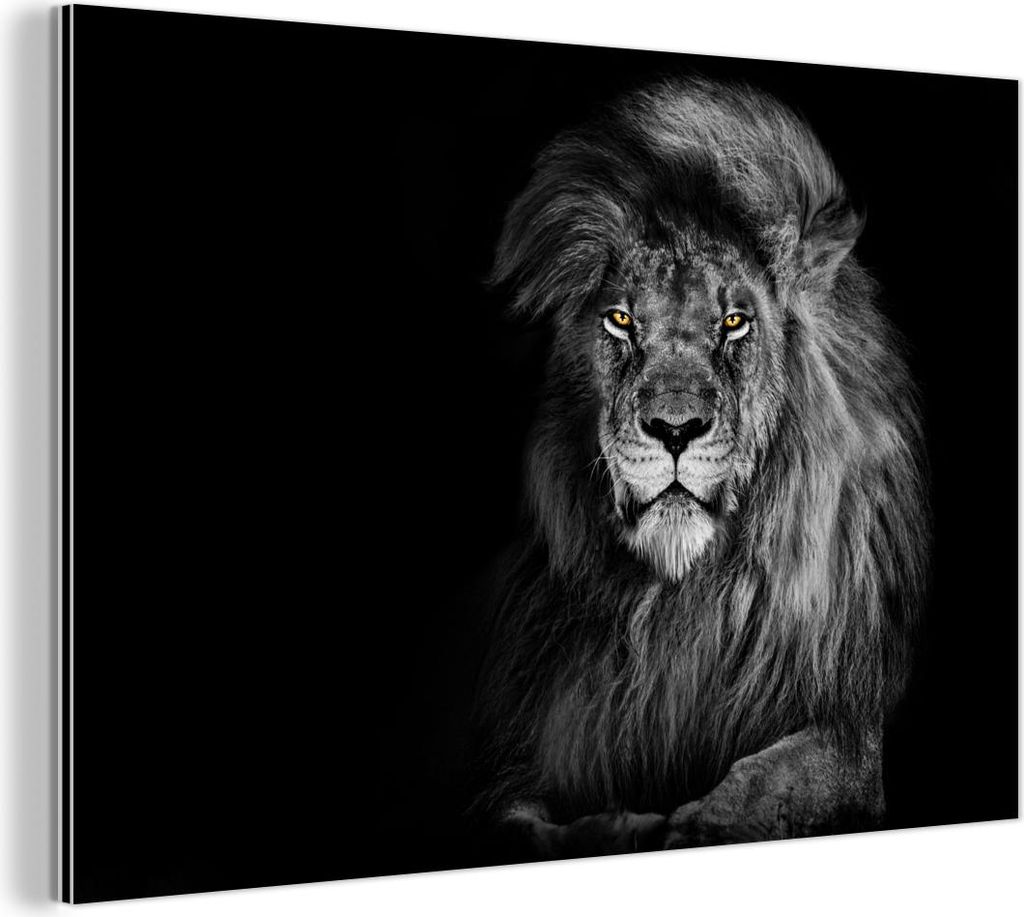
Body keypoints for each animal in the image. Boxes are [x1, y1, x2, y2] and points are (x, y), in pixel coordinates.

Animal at [467, 77, 930, 859]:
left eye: (735, 321)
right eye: (621, 320)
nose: (675, 429)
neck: (680, 603)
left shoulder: (848, 731)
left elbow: (770, 781)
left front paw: (694, 823)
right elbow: (517, 821)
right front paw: (616, 827)